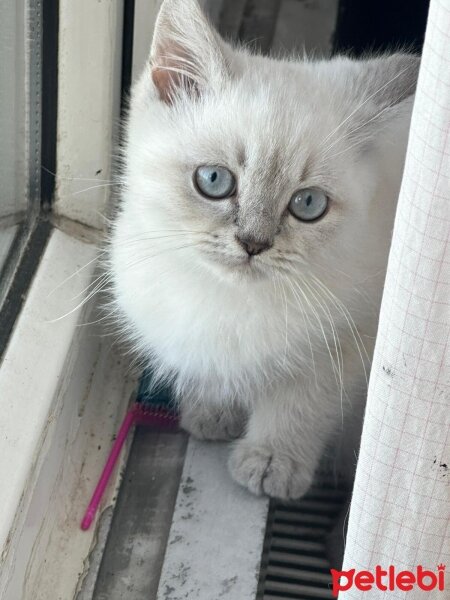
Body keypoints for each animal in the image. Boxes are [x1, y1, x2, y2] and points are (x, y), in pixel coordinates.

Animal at [109, 0, 418, 500]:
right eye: (214, 180)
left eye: (307, 205)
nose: (254, 243)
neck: (233, 300)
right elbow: (212, 366)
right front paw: (212, 411)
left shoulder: (352, 337)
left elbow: (301, 403)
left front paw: (273, 461)